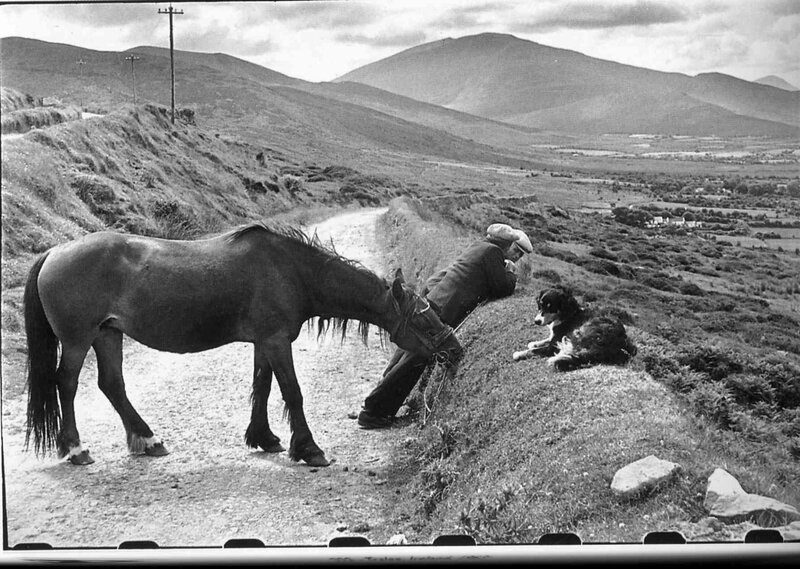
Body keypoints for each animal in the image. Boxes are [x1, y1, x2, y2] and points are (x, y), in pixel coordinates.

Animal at [23, 222, 462, 467]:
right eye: (423, 318)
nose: (455, 351)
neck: (292, 271)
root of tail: (54, 252)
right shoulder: (276, 341)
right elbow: (292, 392)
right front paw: (309, 449)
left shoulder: (264, 342)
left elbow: (262, 388)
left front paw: (264, 438)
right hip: (78, 340)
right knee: (67, 384)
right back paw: (75, 449)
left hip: (108, 334)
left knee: (112, 385)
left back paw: (148, 441)